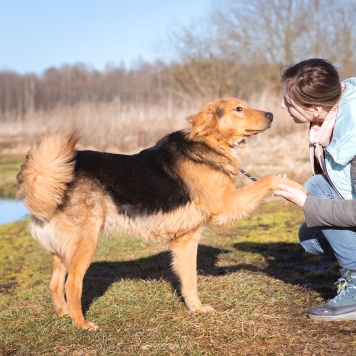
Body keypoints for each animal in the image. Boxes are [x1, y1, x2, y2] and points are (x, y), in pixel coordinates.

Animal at [16, 98, 306, 330]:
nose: (271, 114)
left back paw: (64, 316)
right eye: (239, 108)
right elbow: (268, 180)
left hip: (63, 251)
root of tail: (45, 174)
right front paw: (299, 188)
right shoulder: (225, 205)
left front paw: (196, 309)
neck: (209, 141)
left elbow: (189, 280)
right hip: (85, 244)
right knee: (71, 285)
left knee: (55, 284)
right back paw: (82, 324)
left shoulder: (186, 240)